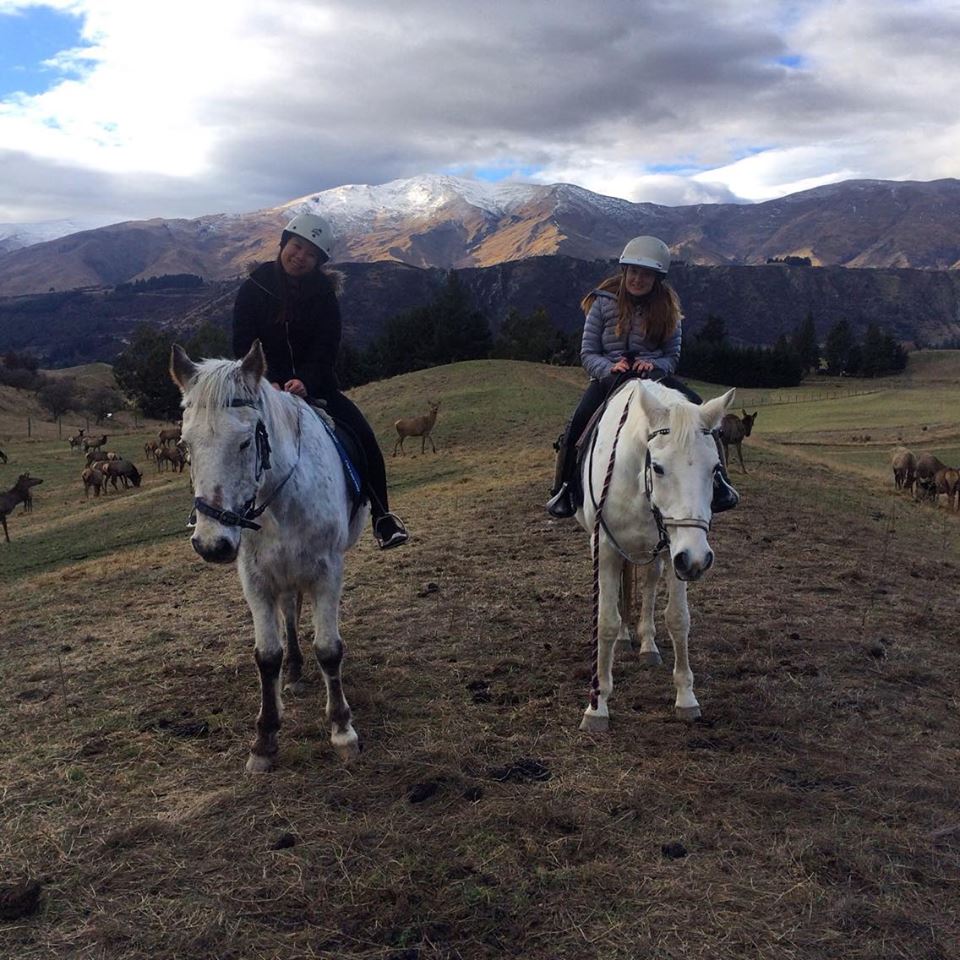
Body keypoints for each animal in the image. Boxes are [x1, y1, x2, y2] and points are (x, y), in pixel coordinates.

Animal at [171, 340, 370, 772]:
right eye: (185, 446)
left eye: (246, 441)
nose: (211, 543)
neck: (280, 499)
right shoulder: (256, 580)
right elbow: (266, 655)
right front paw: (264, 740)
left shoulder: (327, 572)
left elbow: (329, 649)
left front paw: (342, 730)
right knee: (290, 614)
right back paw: (293, 671)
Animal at [572, 378, 740, 732]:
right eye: (658, 467)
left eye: (715, 468)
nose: (697, 560)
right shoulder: (605, 548)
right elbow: (605, 621)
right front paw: (597, 705)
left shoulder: (678, 550)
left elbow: (678, 618)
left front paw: (686, 698)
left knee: (649, 586)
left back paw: (646, 645)